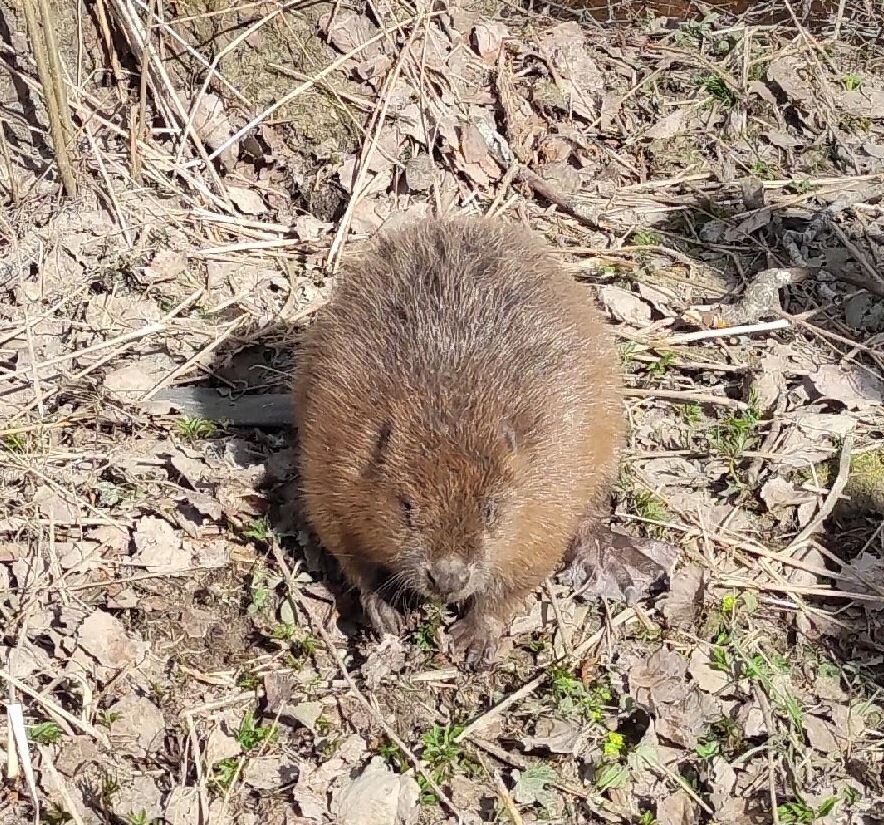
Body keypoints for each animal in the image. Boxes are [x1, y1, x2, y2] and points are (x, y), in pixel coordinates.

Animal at [294, 217, 624, 664]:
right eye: (406, 506)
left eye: (490, 510)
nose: (448, 578)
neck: (451, 404)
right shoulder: (333, 458)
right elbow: (343, 544)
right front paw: (384, 608)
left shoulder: (550, 492)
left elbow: (522, 575)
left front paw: (474, 638)